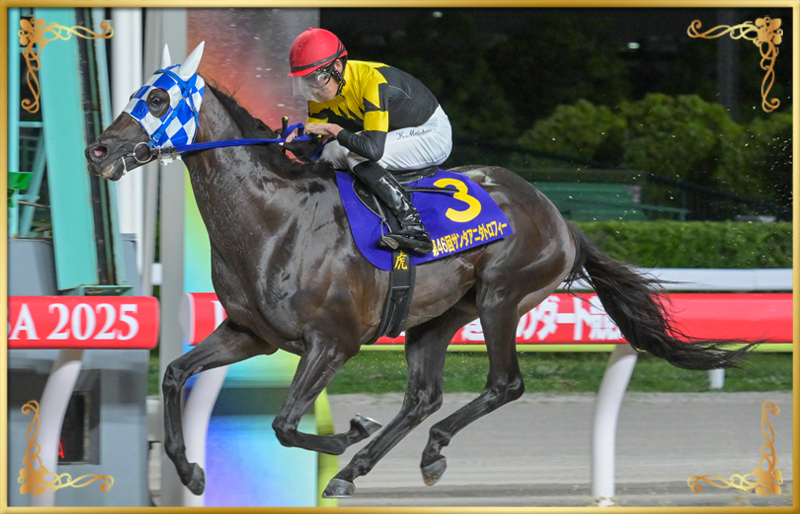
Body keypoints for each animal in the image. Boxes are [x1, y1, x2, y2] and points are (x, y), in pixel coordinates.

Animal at [85, 42, 755, 499]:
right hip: (435, 315)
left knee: (503, 385)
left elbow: (283, 423)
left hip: (501, 297)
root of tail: (561, 219)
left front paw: (346, 433)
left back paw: (410, 453)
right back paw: (367, 467)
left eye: (158, 99)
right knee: (423, 396)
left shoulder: (333, 342)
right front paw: (191, 470)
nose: (98, 150)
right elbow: (174, 375)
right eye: (135, 96)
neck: (275, 218)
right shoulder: (250, 333)